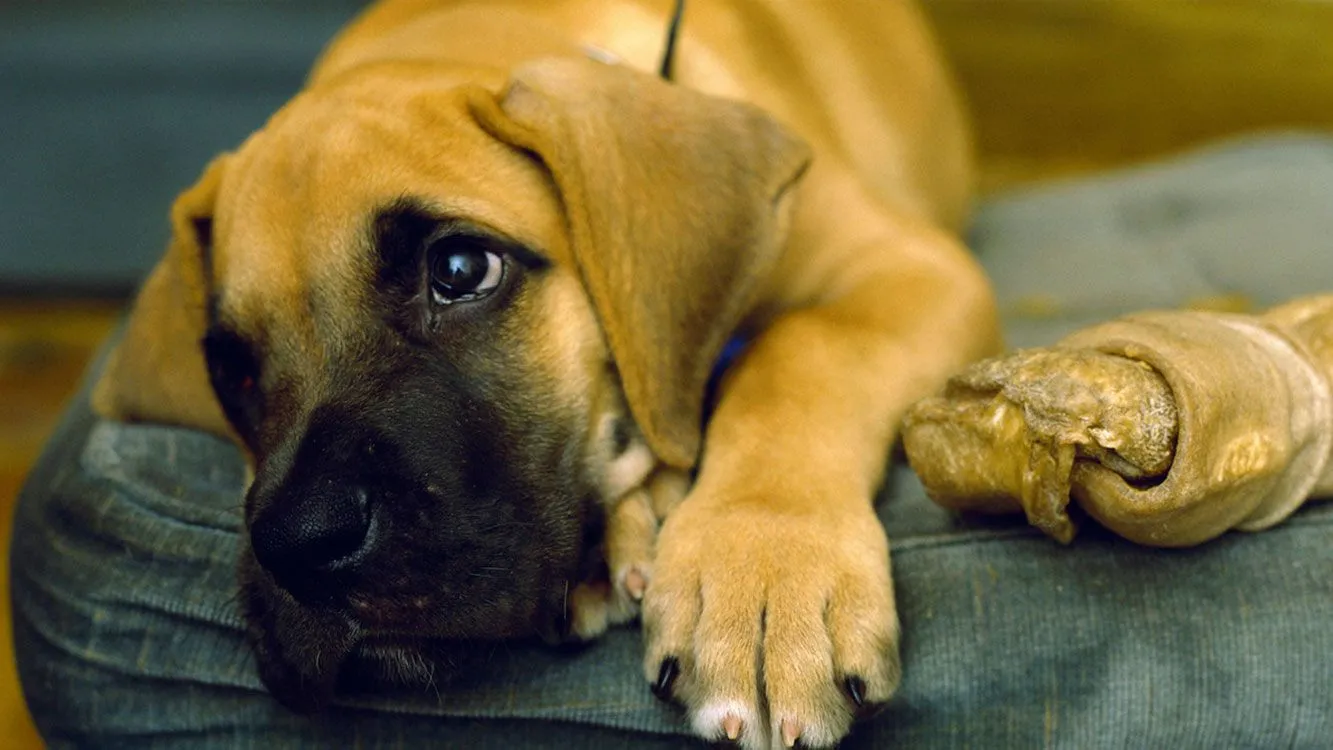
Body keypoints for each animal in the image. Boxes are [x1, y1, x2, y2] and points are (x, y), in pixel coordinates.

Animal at [88, 2, 997, 746]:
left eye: (459, 269)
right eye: (229, 366)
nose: (302, 544)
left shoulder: (906, 266)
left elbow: (800, 353)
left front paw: (767, 571)